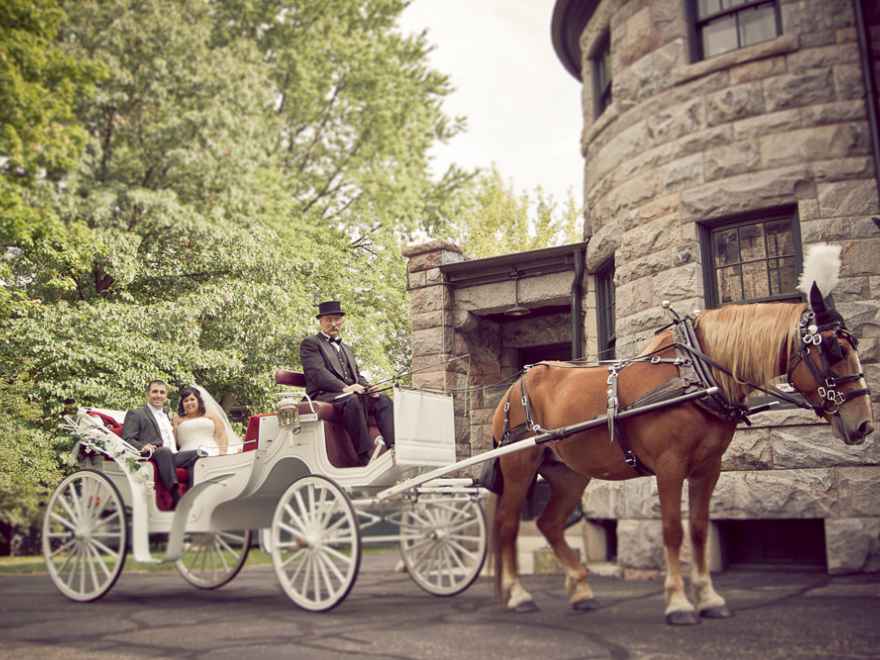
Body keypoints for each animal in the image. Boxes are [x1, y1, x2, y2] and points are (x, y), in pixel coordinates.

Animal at [488, 254, 872, 624]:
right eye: (835, 351)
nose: (864, 425)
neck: (696, 375)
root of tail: (512, 390)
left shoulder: (708, 468)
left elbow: (699, 529)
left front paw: (709, 598)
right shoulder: (669, 466)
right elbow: (673, 529)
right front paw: (678, 603)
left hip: (569, 474)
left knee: (548, 524)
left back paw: (580, 591)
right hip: (519, 467)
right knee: (507, 525)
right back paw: (518, 594)